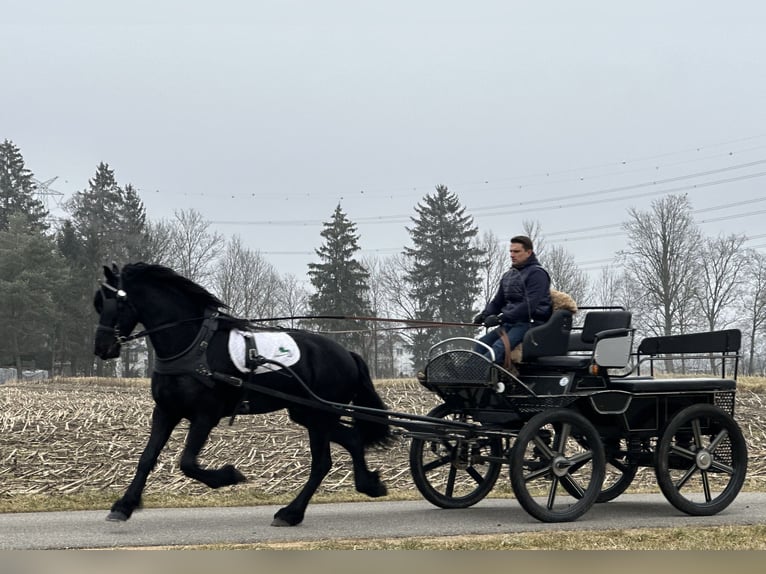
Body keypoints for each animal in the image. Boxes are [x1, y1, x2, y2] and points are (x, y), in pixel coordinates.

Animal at [93, 264, 392, 528]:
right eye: (98, 304)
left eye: (115, 304)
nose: (101, 349)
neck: (194, 346)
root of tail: (347, 354)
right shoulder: (166, 411)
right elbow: (146, 458)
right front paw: (124, 506)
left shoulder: (206, 415)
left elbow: (187, 462)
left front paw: (228, 476)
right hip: (307, 413)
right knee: (352, 439)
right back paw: (369, 485)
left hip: (320, 416)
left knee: (321, 463)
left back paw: (291, 513)